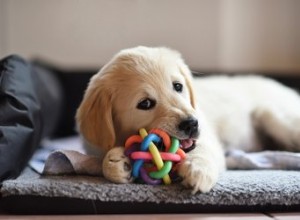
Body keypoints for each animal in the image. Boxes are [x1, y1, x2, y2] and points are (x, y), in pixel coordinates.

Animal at [76, 46, 300, 192]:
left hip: (271, 115)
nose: (192, 124)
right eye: (145, 103)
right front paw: (116, 162)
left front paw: (197, 170)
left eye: (178, 86)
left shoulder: (207, 139)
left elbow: (202, 151)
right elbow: (104, 161)